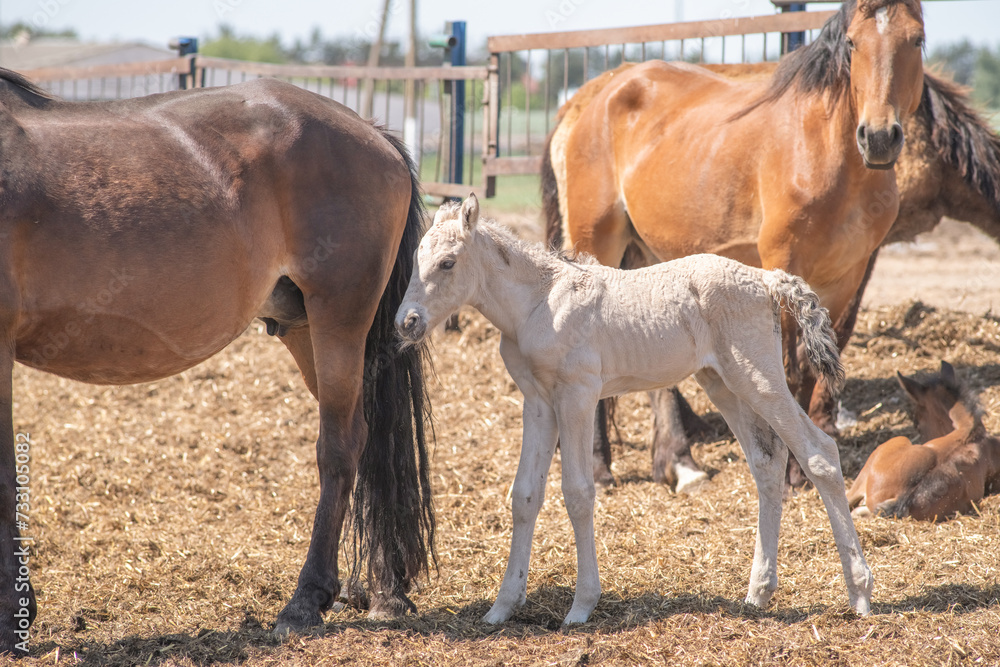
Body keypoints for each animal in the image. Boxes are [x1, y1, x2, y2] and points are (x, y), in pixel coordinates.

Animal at [0, 68, 435, 653]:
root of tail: (373, 134)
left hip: (339, 321)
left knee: (342, 448)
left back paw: (305, 602)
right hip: (308, 331)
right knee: (369, 441)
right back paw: (387, 591)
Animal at [396, 194, 872, 624]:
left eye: (448, 263)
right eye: (417, 258)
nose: (407, 322)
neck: (537, 302)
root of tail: (767, 279)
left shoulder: (578, 394)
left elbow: (578, 493)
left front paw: (581, 606)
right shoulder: (538, 401)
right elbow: (525, 495)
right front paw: (501, 607)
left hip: (758, 376)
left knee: (819, 452)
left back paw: (860, 593)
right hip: (721, 382)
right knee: (767, 461)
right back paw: (758, 593)